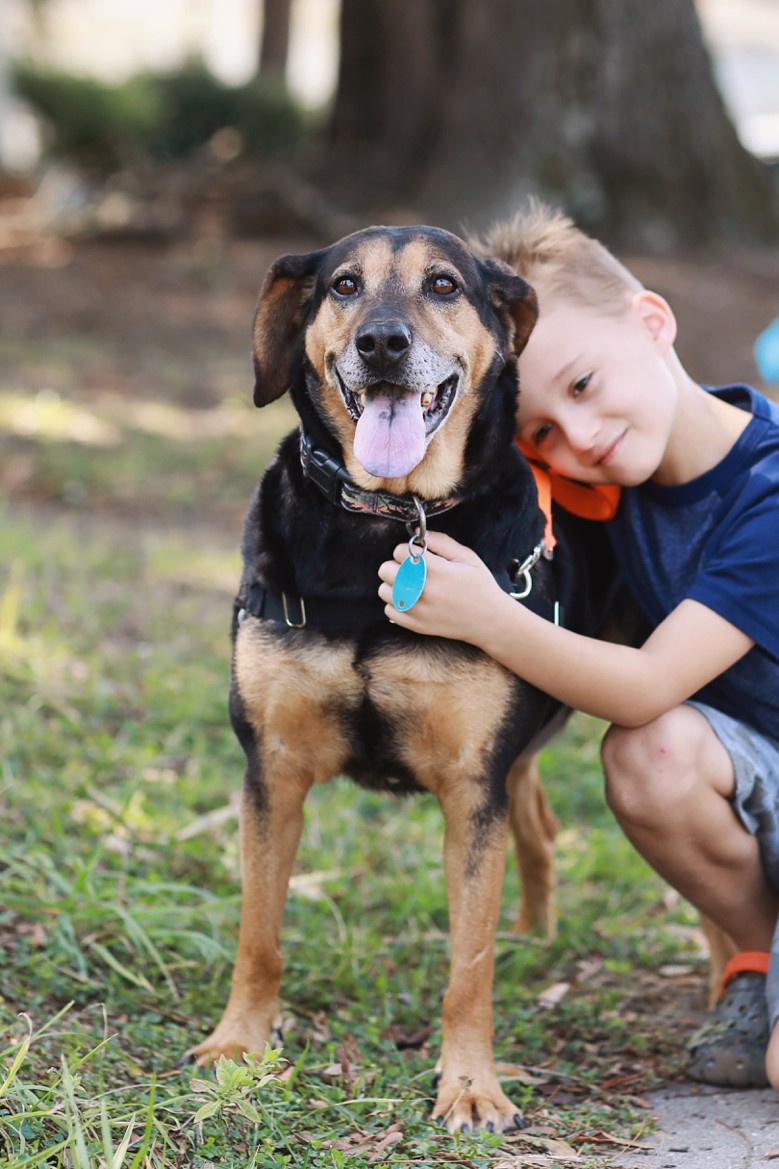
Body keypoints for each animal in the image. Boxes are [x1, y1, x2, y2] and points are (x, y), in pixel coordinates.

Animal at [188, 223, 636, 1126]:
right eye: (343, 285)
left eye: (442, 285)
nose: (382, 344)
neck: (389, 520)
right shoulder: (271, 769)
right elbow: (259, 933)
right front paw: (238, 1045)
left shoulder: (470, 784)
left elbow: (469, 963)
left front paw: (470, 1085)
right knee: (538, 824)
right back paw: (535, 935)